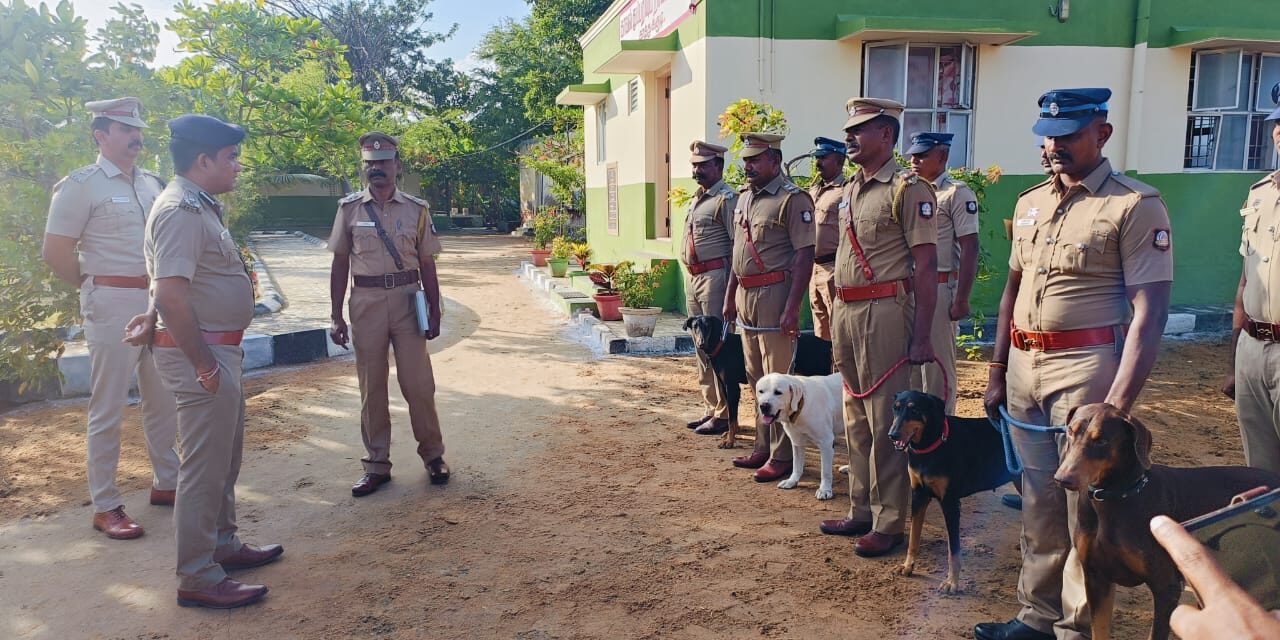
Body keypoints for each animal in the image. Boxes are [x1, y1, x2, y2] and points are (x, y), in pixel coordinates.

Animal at [686, 316, 834, 448]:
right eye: (695, 326)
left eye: (708, 326)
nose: (701, 343)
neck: (721, 345)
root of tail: (826, 343)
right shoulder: (724, 386)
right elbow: (731, 415)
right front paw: (731, 434)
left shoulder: (732, 387)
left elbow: (732, 418)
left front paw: (730, 441)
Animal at [752, 371, 844, 499]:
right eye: (761, 391)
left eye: (778, 392)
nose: (764, 406)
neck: (801, 406)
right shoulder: (796, 442)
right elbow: (796, 465)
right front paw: (792, 481)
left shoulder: (826, 442)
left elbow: (825, 471)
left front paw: (825, 490)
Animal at [885, 389, 1013, 593]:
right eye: (895, 408)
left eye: (914, 410)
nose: (893, 435)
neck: (930, 445)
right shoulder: (918, 495)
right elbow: (913, 537)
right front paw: (907, 566)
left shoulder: (950, 502)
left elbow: (953, 549)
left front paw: (952, 582)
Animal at [1054, 404, 1274, 640]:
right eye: (1070, 431)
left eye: (1102, 440)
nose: (1062, 478)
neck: (1117, 497)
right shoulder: (1096, 578)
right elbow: (1100, 630)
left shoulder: (1166, 587)